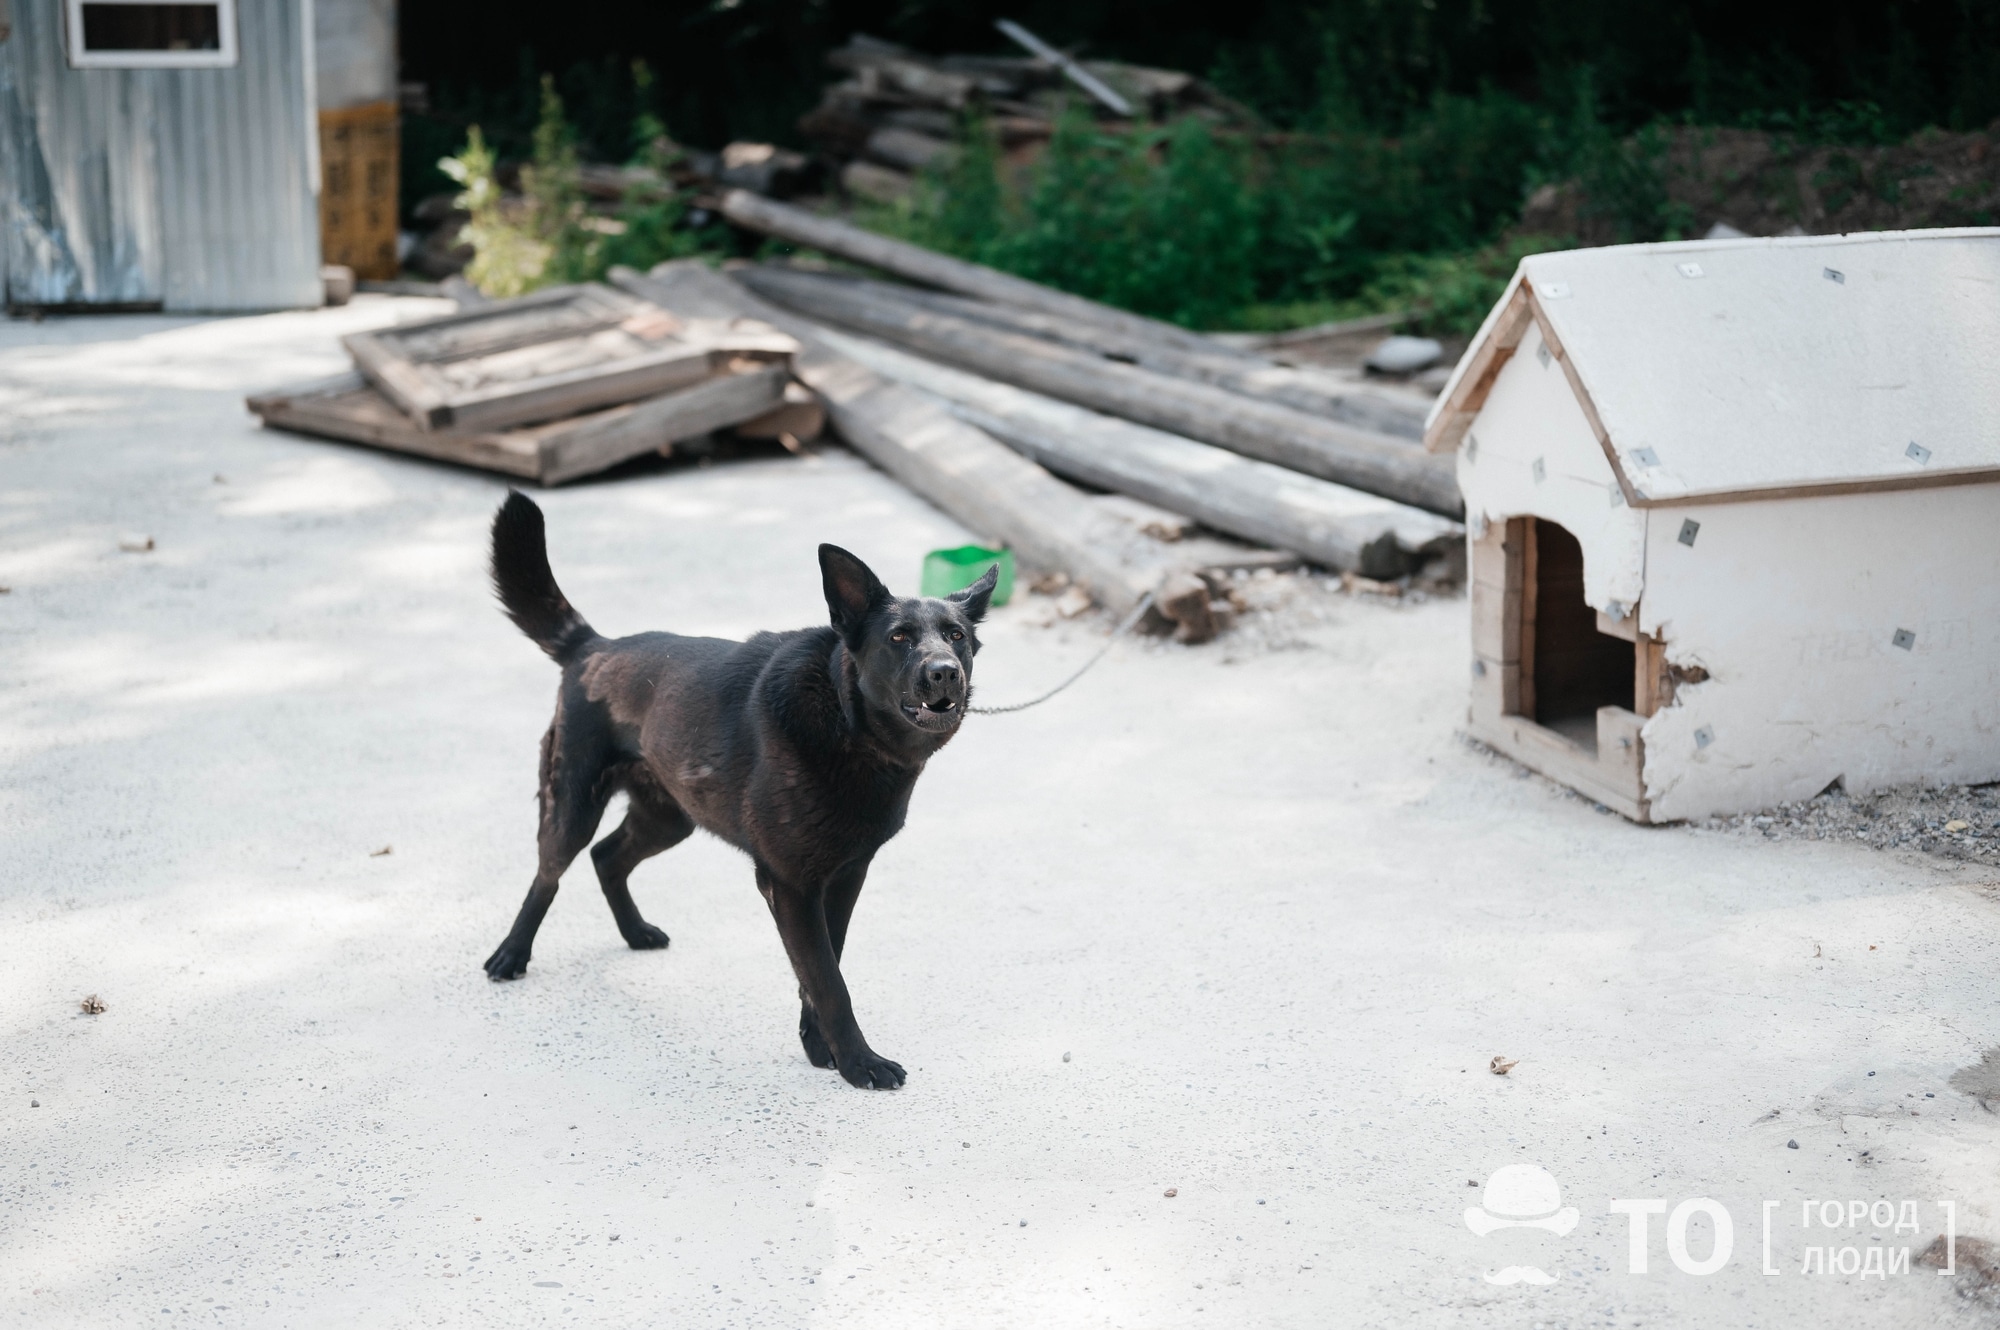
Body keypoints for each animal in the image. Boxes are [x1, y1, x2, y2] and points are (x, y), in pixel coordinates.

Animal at [476, 492, 992, 1088]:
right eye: (899, 638)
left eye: (956, 637)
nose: (945, 672)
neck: (848, 724)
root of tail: (594, 646)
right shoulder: (791, 884)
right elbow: (828, 980)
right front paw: (858, 1062)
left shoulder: (844, 876)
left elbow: (824, 966)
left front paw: (819, 1045)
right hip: (573, 803)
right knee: (549, 874)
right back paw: (511, 954)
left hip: (671, 816)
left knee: (607, 856)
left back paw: (634, 931)